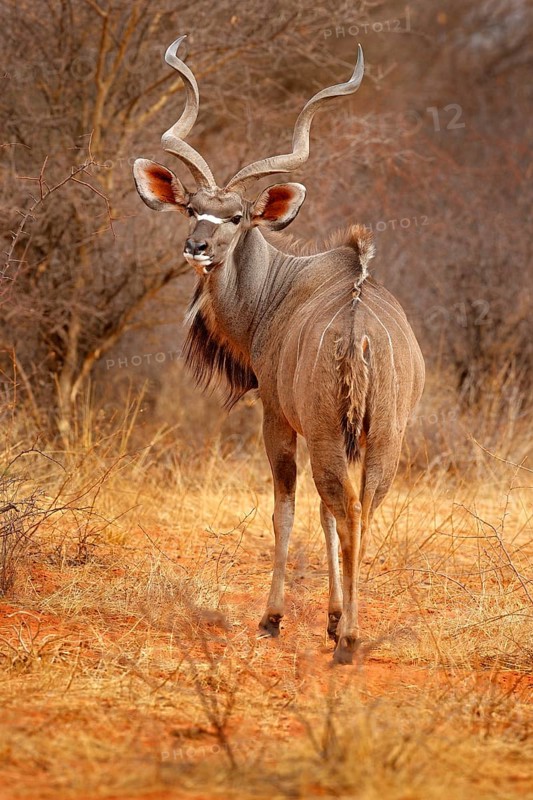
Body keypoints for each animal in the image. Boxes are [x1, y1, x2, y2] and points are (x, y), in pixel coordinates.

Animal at [133, 36, 425, 664]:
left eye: (237, 216)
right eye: (192, 207)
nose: (196, 246)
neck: (278, 288)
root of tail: (361, 336)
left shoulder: (277, 416)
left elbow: (285, 509)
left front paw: (274, 618)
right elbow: (322, 513)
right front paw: (331, 616)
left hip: (327, 432)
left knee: (347, 509)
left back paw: (349, 641)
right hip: (384, 436)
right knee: (362, 508)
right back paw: (349, 629)